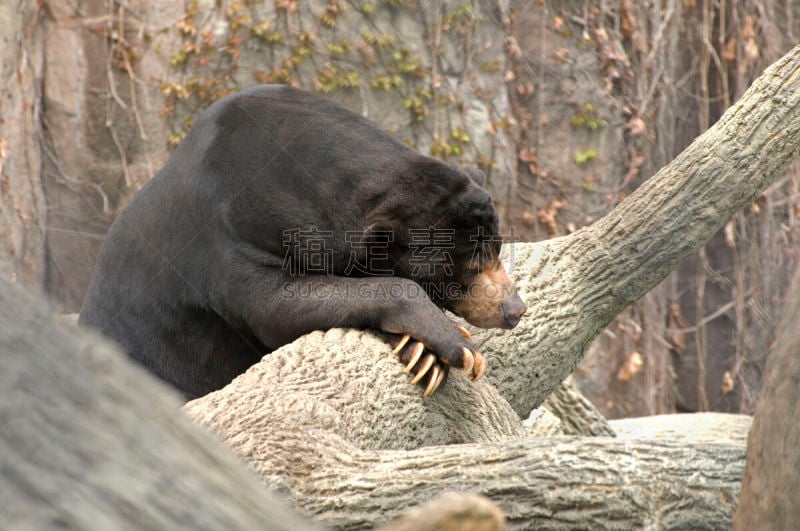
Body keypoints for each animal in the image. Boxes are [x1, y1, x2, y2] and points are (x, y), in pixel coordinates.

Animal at [81, 84, 524, 400]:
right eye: (470, 260)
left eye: (497, 247)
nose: (513, 309)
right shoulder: (232, 235)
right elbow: (275, 306)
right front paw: (452, 347)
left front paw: (425, 355)